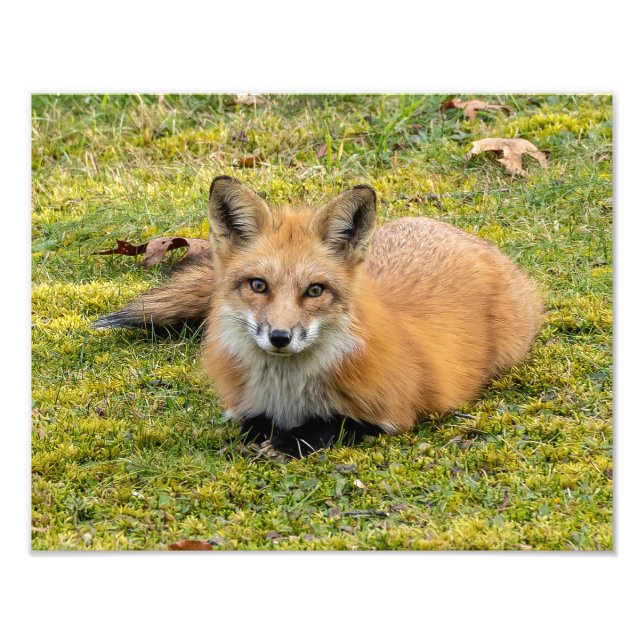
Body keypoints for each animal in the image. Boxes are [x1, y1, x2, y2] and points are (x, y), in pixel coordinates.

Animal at [94, 176, 543, 457]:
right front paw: (260, 437)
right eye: (258, 285)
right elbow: (250, 424)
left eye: (314, 291)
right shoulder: (244, 406)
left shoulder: (395, 414)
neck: (289, 393)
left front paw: (286, 443)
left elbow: (333, 425)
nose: (279, 337)